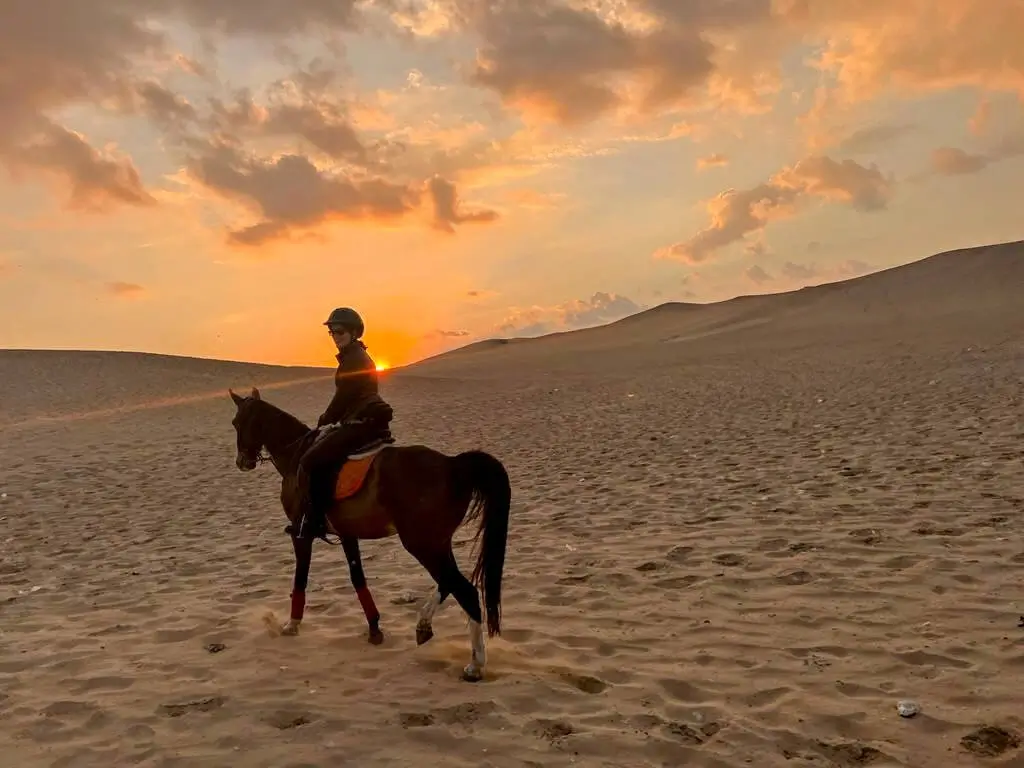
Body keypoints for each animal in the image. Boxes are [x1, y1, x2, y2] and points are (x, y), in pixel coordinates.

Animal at [226, 387, 509, 684]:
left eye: (236, 422)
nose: (242, 462)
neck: (295, 454)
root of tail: (452, 466)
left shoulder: (301, 535)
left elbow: (300, 578)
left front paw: (292, 624)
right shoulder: (348, 535)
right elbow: (357, 578)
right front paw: (374, 628)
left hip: (421, 543)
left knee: (465, 590)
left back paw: (475, 665)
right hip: (436, 542)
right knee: (450, 582)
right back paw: (424, 626)